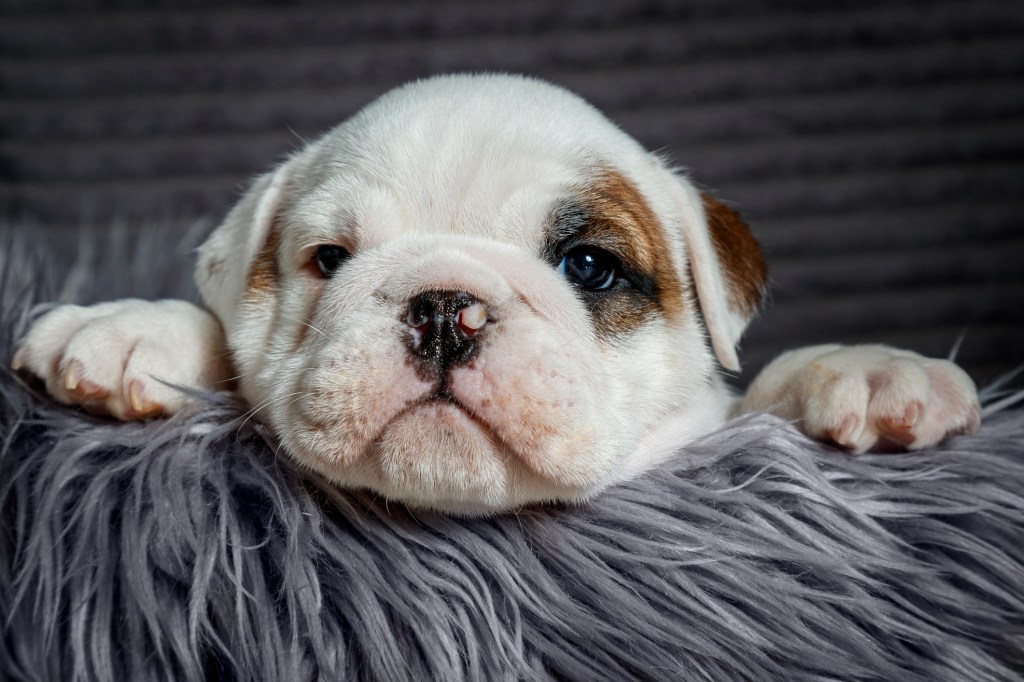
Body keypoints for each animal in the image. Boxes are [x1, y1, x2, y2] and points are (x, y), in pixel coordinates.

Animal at [12, 73, 978, 509]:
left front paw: (868, 369)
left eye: (588, 267)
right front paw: (132, 327)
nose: (444, 308)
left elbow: (766, 391)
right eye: (329, 259)